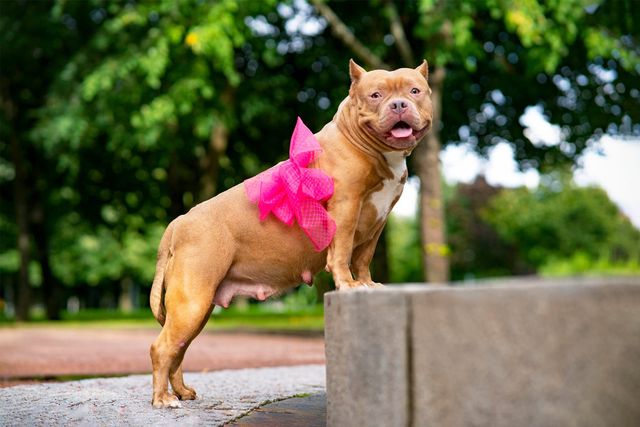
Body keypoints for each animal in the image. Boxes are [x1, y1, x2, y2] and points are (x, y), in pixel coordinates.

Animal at [148, 59, 432, 408]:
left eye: (414, 90)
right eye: (376, 95)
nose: (399, 104)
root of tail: (179, 221)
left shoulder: (376, 223)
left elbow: (363, 256)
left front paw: (366, 283)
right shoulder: (346, 208)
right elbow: (342, 252)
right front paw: (348, 285)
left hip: (197, 307)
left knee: (179, 348)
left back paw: (182, 392)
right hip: (192, 301)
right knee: (163, 347)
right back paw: (163, 399)